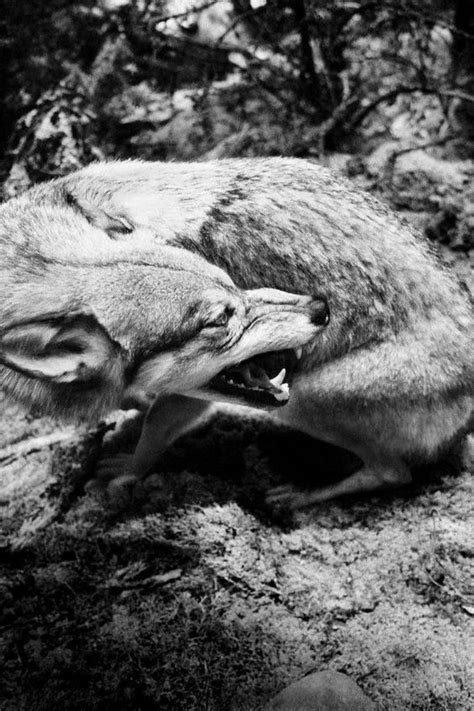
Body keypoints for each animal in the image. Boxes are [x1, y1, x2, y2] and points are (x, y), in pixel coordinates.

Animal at [4, 157, 473, 506]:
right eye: (220, 319)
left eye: (231, 282)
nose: (321, 308)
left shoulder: (193, 391)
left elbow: (156, 426)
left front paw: (129, 471)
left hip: (303, 402)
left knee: (393, 472)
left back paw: (301, 495)